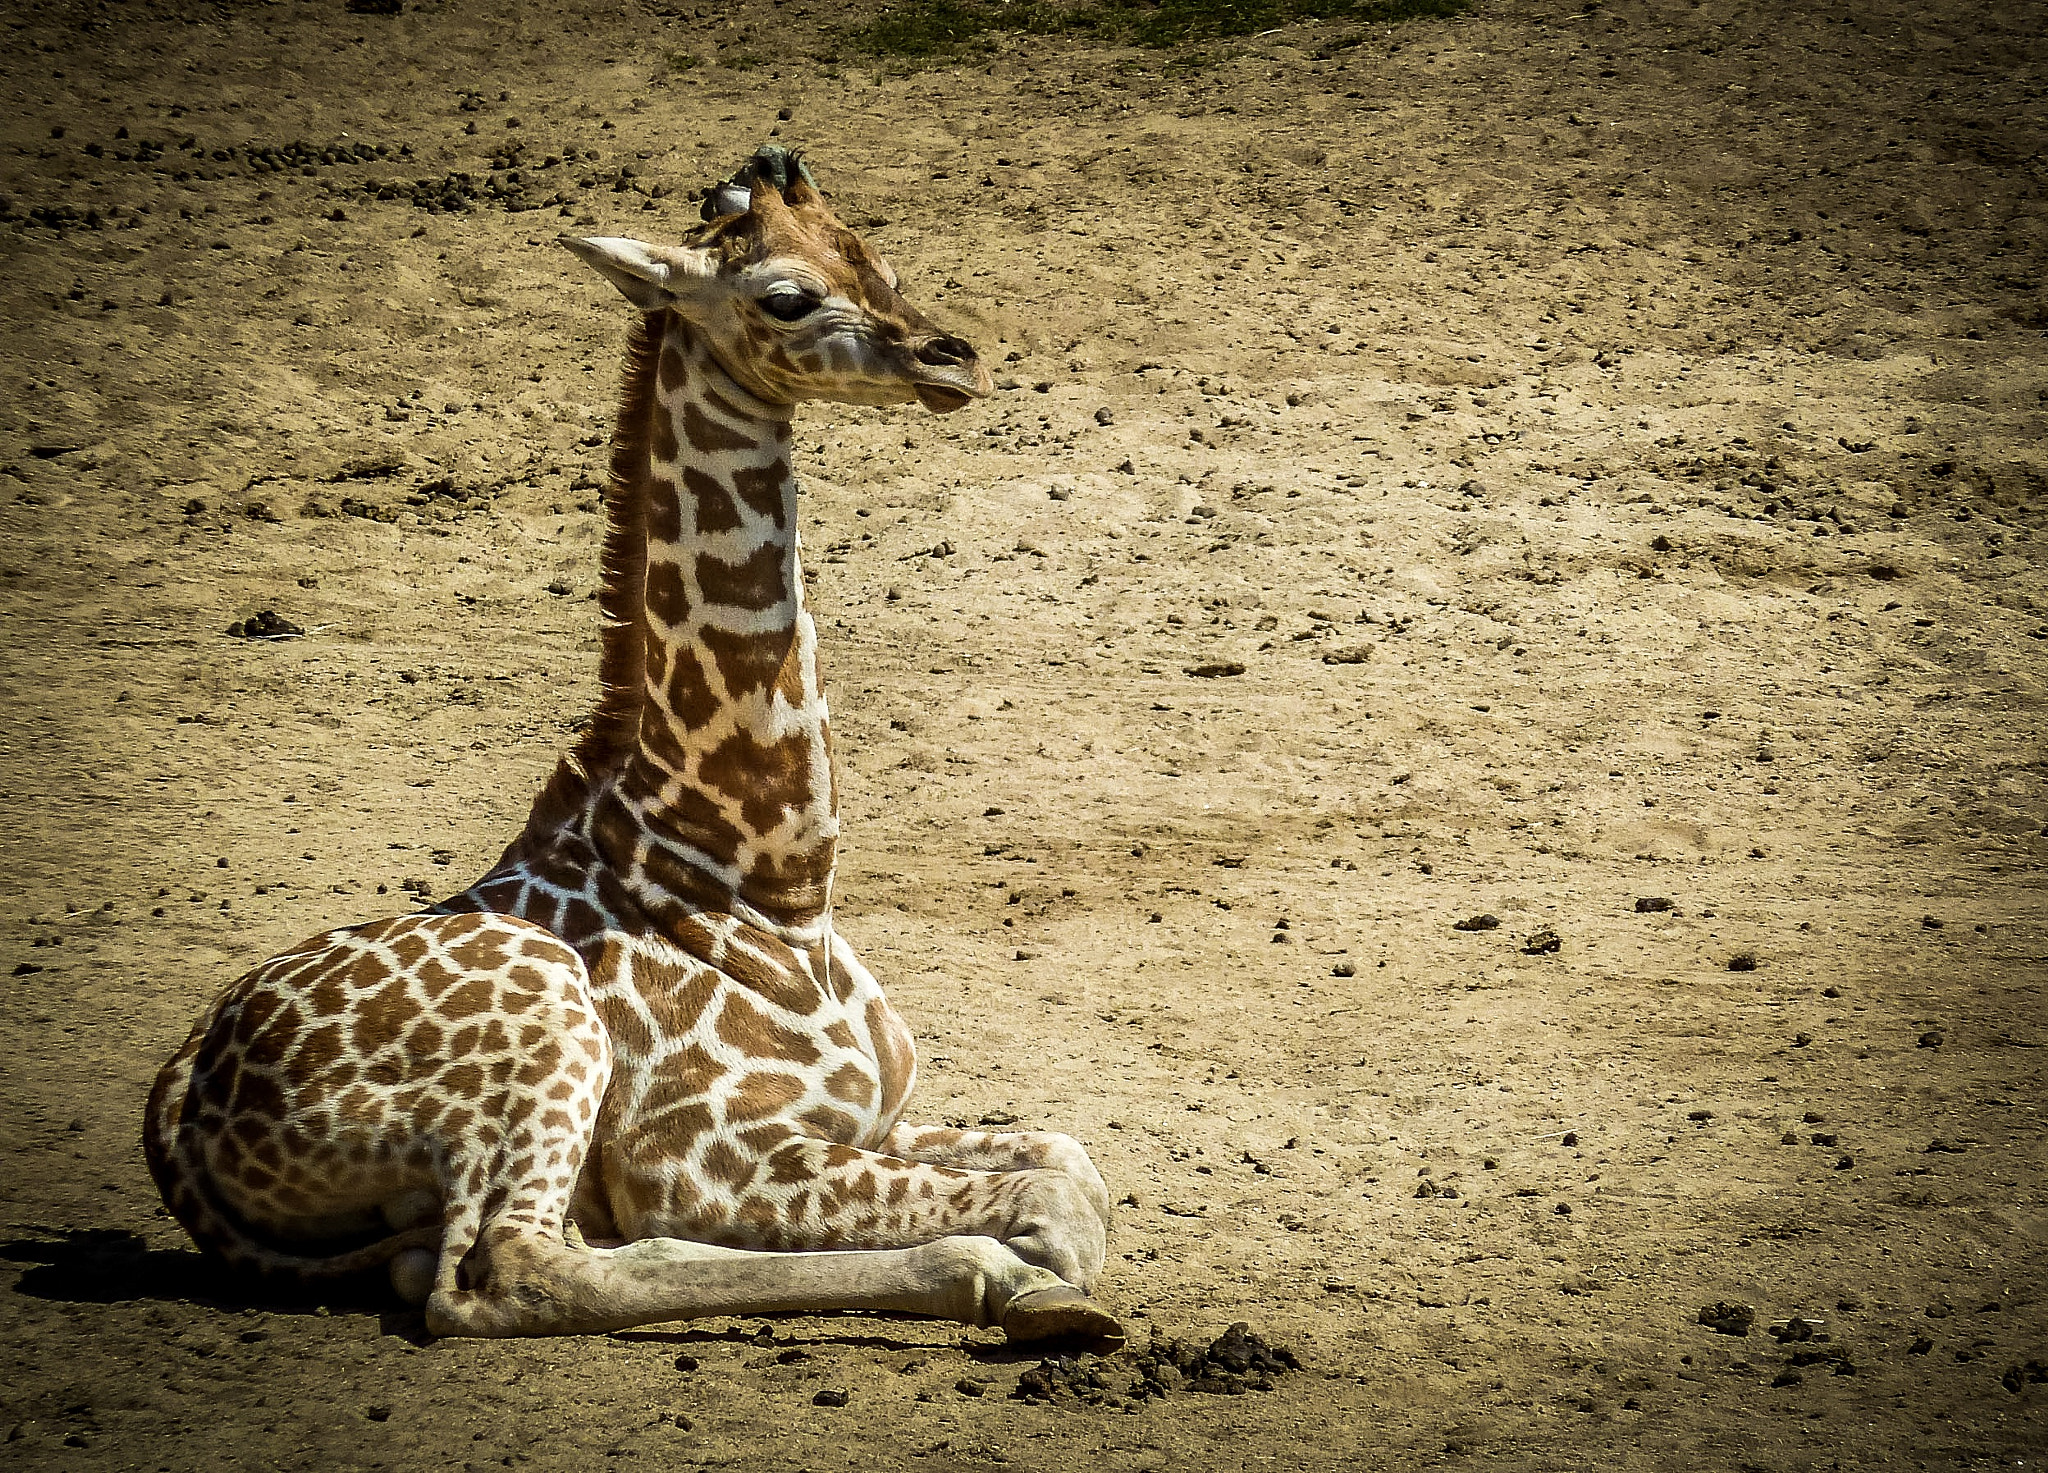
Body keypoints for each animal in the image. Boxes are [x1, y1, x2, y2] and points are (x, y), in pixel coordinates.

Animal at [144, 149, 1122, 1352]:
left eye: (881, 261)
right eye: (785, 297)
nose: (956, 359)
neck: (772, 879)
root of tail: (177, 1101)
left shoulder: (874, 1114)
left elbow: (1072, 1163)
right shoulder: (703, 1158)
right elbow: (1051, 1203)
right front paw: (1029, 1283)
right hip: (544, 1034)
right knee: (499, 1272)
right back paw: (983, 1275)